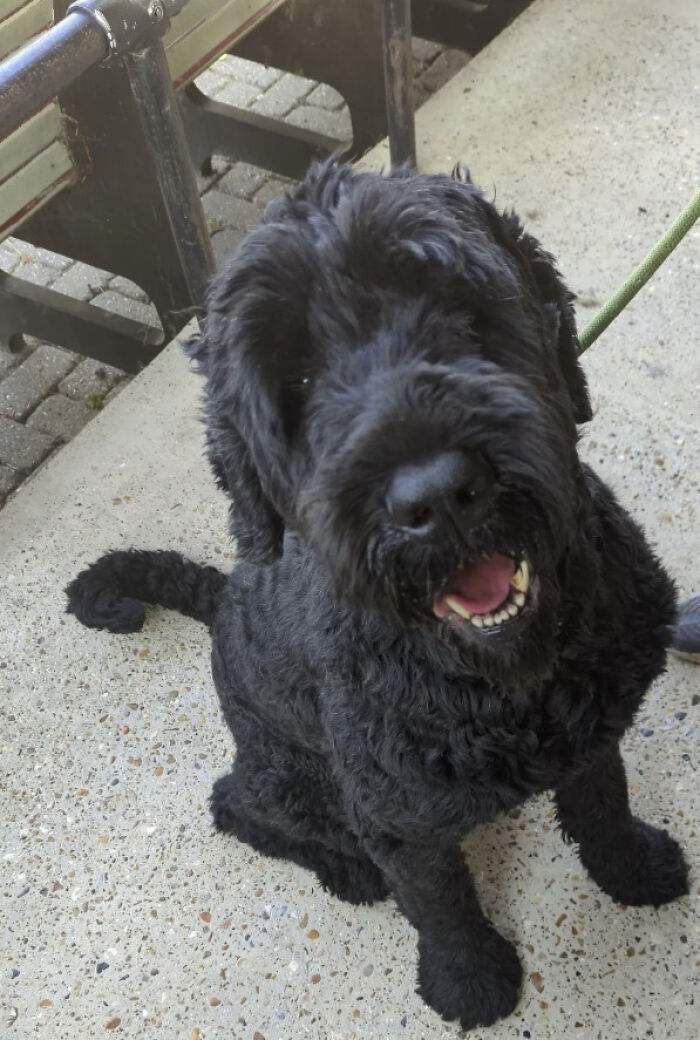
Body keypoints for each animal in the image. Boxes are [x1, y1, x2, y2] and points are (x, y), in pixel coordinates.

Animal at [65, 158, 686, 1027]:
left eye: (459, 308)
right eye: (294, 378)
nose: (437, 496)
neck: (500, 684)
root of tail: (222, 599)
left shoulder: (592, 732)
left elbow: (604, 806)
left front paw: (631, 867)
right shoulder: (395, 820)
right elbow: (440, 902)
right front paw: (468, 980)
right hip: (297, 780)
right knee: (236, 805)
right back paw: (343, 868)